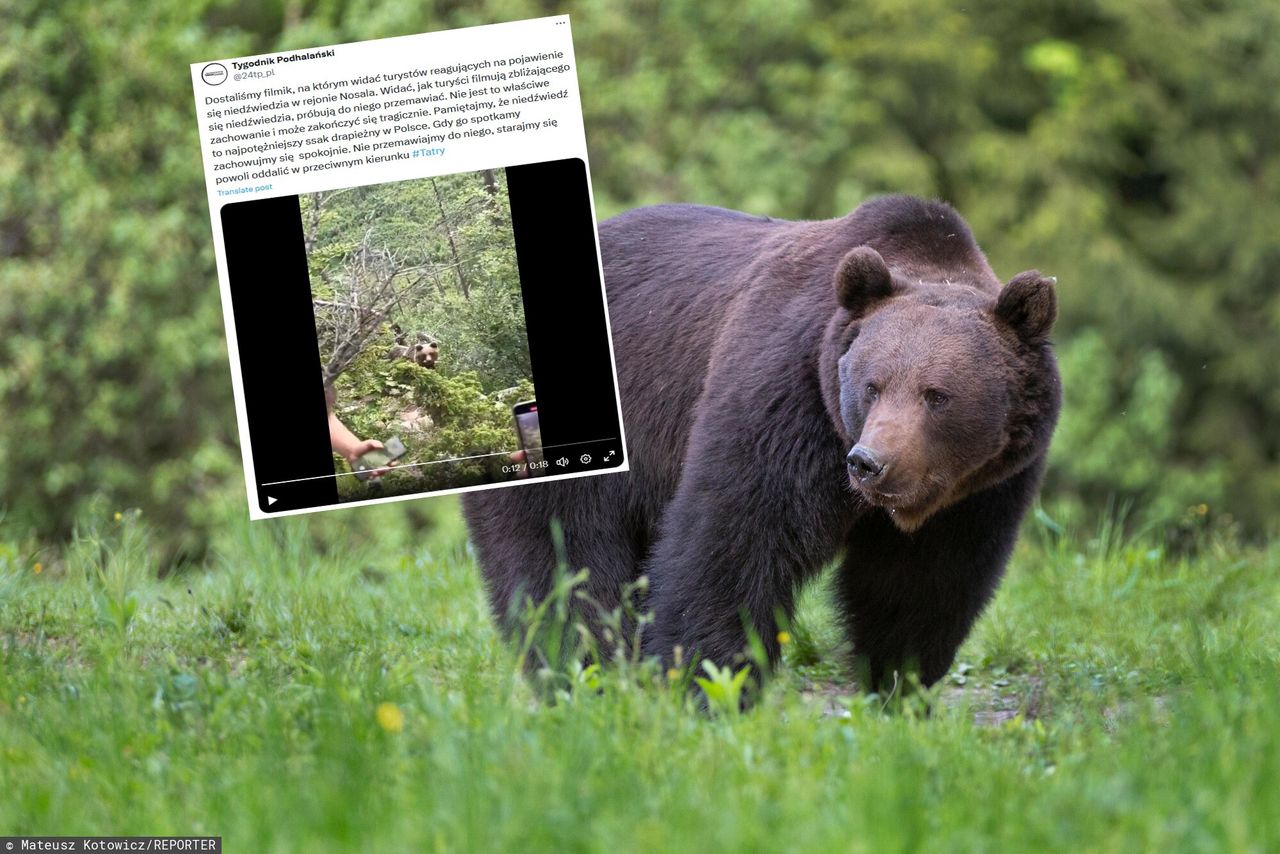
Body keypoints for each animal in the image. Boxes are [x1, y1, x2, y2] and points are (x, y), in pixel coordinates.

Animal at [460, 197, 1059, 706]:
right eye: (872, 385)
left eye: (937, 395)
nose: (870, 463)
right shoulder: (786, 393)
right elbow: (737, 536)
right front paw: (709, 681)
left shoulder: (980, 488)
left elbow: (924, 583)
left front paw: (899, 684)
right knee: (564, 557)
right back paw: (587, 673)